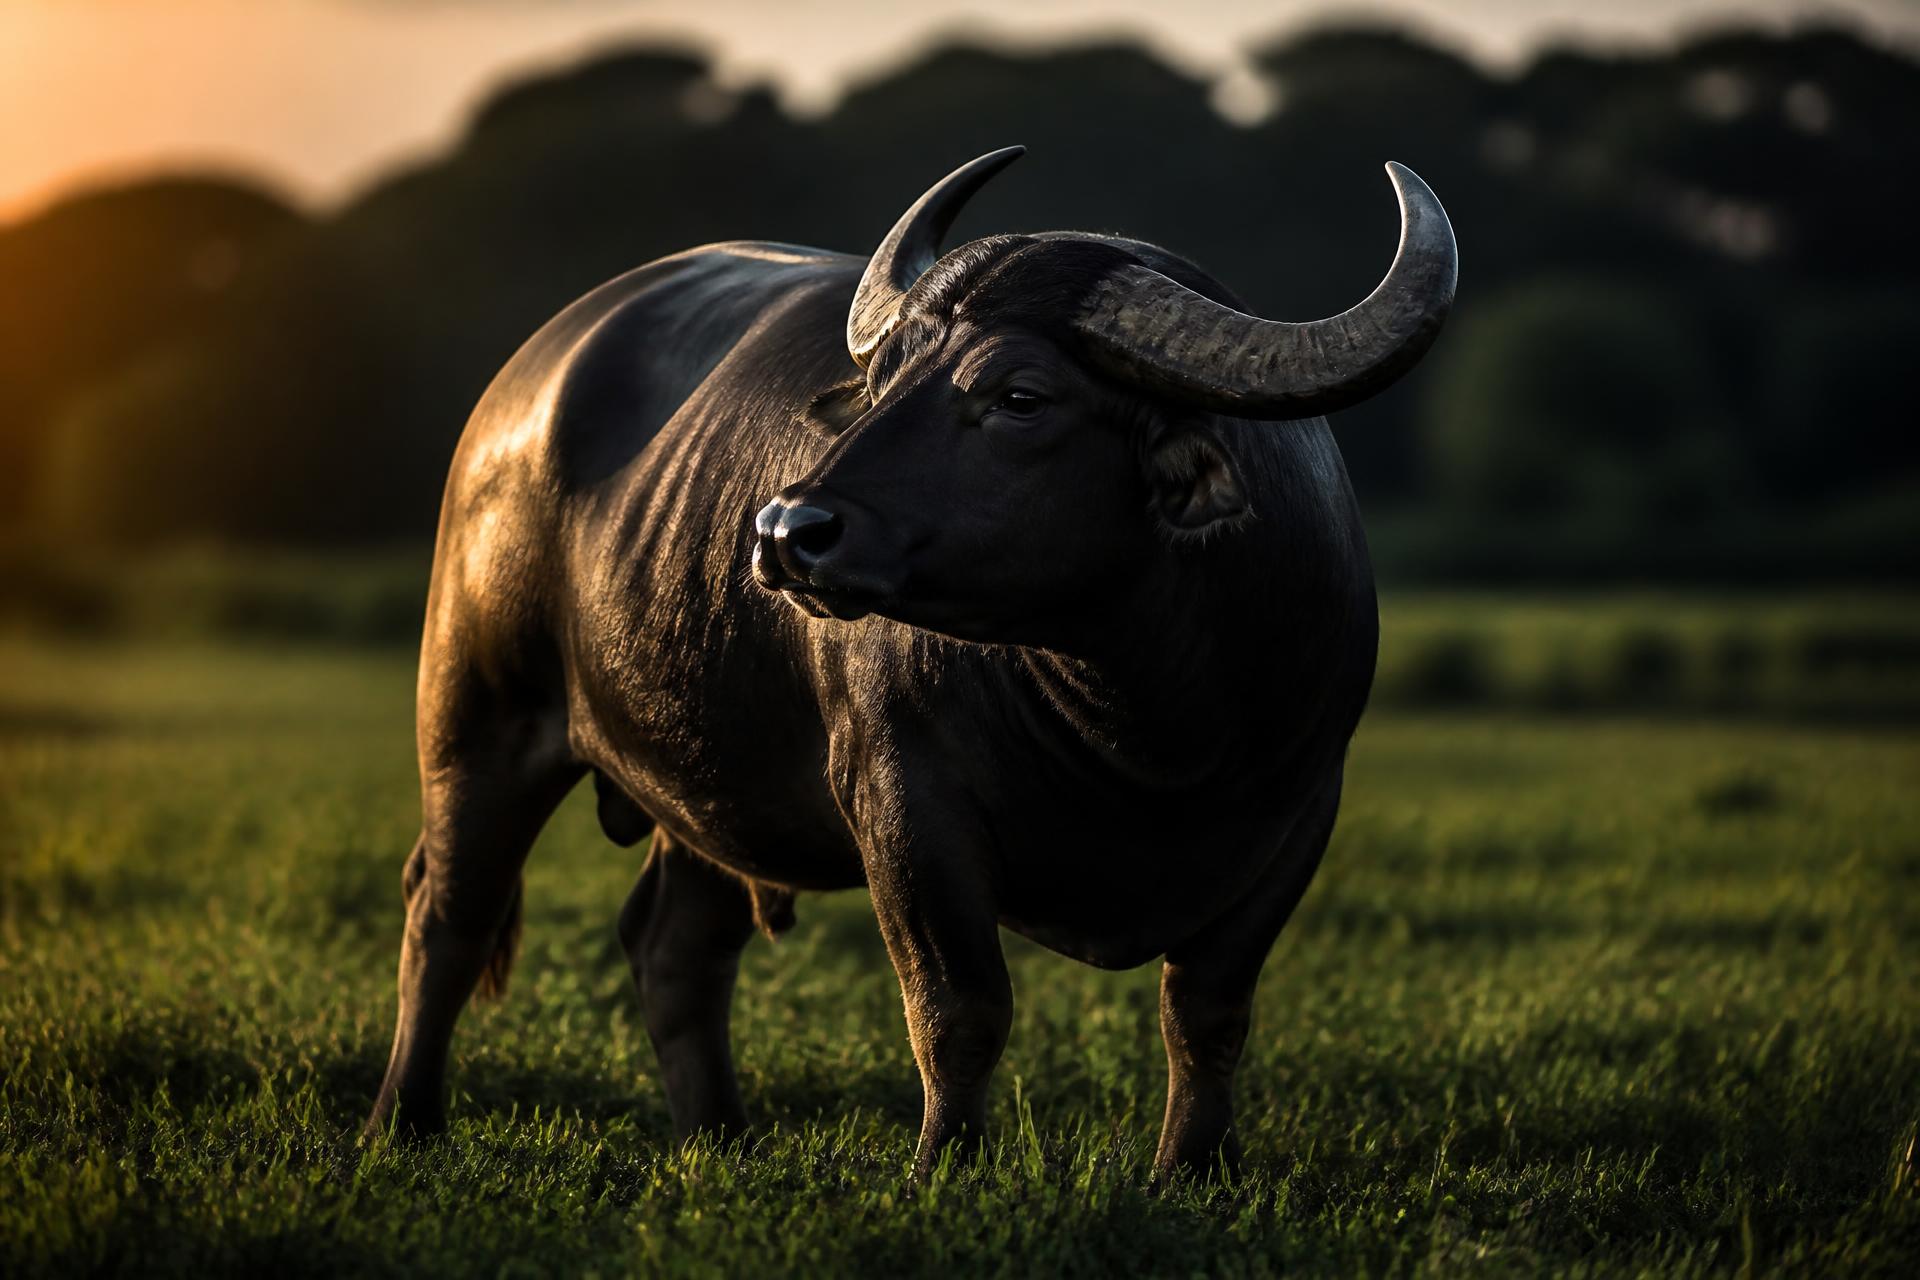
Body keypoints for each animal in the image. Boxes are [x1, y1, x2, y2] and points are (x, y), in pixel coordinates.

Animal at [367, 147, 1457, 1179]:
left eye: (1020, 396)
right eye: (881, 383)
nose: (786, 529)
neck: (1143, 726)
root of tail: (525, 385)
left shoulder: (1296, 819)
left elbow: (1207, 1015)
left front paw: (1193, 1168)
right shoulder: (906, 804)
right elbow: (958, 1006)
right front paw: (946, 1164)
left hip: (706, 777)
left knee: (677, 945)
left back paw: (721, 1139)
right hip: (476, 715)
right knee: (446, 914)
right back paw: (403, 1123)